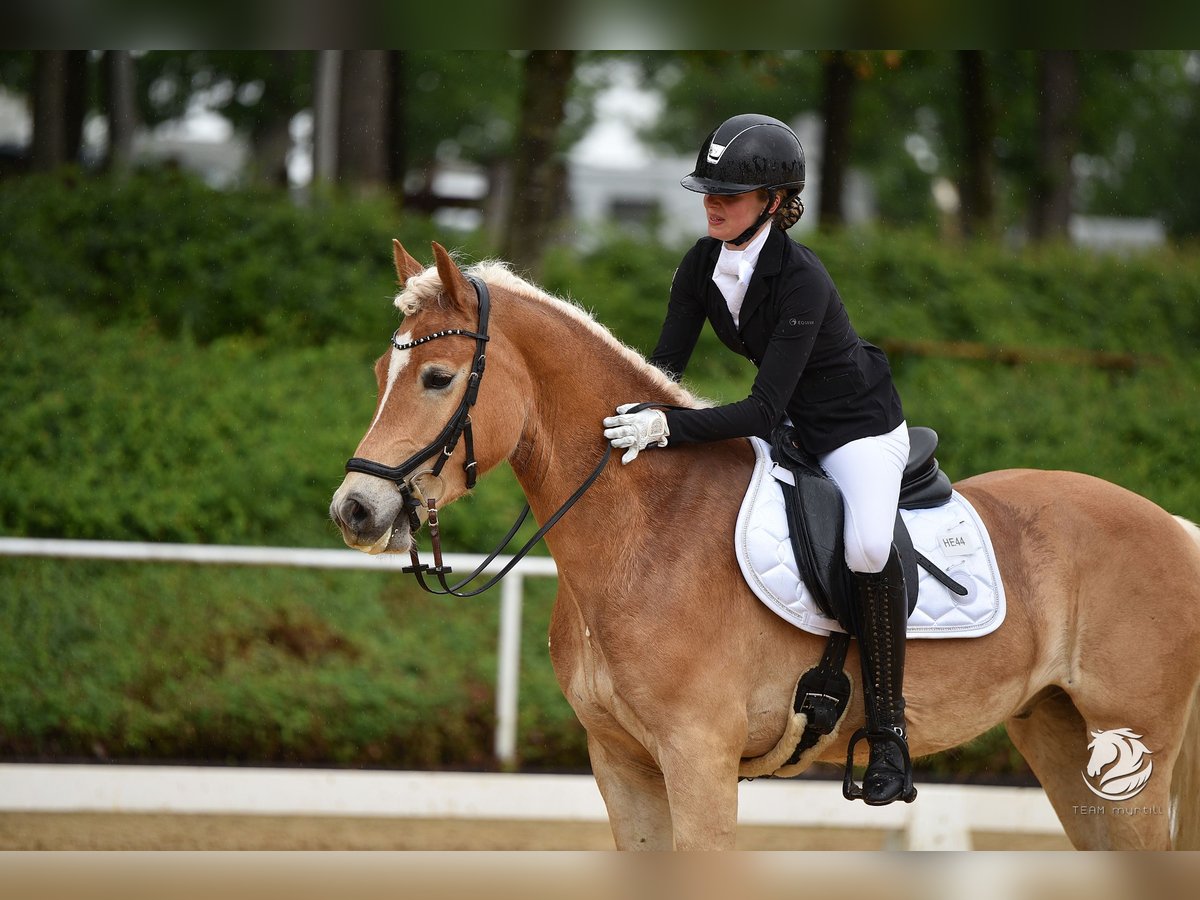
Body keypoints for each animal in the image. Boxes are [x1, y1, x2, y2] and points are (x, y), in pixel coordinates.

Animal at [328, 241, 1200, 854]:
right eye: (376, 372)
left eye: (439, 378)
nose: (357, 511)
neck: (642, 532)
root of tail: (1173, 525)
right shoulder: (623, 766)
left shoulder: (699, 760)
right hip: (1060, 736)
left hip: (1135, 748)